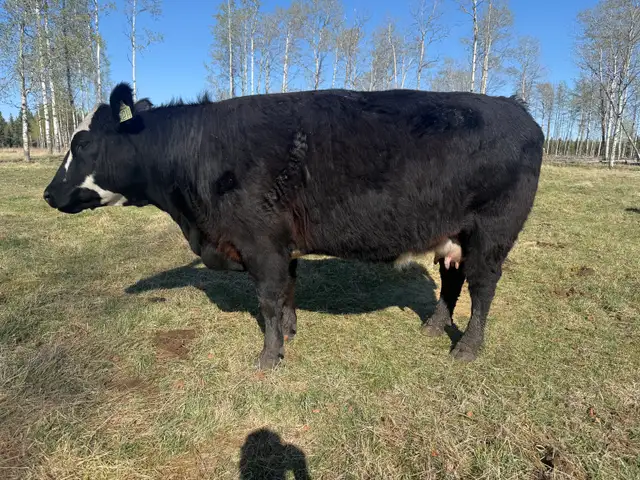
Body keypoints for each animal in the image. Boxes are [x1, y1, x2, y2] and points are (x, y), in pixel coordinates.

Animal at [43, 82, 544, 369]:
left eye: (83, 143)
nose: (48, 193)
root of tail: (517, 109)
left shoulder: (261, 243)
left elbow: (267, 298)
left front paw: (269, 357)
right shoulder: (283, 247)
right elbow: (286, 293)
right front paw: (288, 333)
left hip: (493, 233)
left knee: (481, 287)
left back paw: (467, 349)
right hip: (453, 234)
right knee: (452, 280)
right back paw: (435, 327)